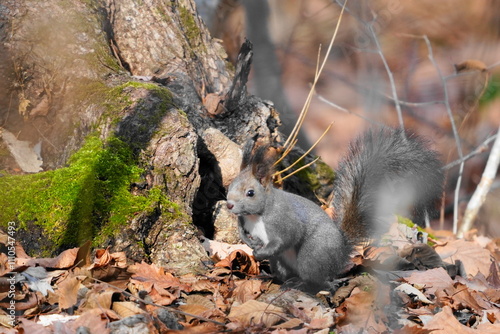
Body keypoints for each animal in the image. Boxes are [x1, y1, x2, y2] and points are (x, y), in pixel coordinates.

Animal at [226, 128, 442, 292]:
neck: (256, 216)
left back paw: (305, 284)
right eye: (229, 186)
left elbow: (286, 238)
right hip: (281, 263)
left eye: (250, 193)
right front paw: (250, 243)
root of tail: (340, 254)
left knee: (318, 279)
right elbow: (244, 234)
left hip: (313, 255)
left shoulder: (283, 220)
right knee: (286, 274)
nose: (229, 205)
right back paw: (274, 279)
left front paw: (259, 252)